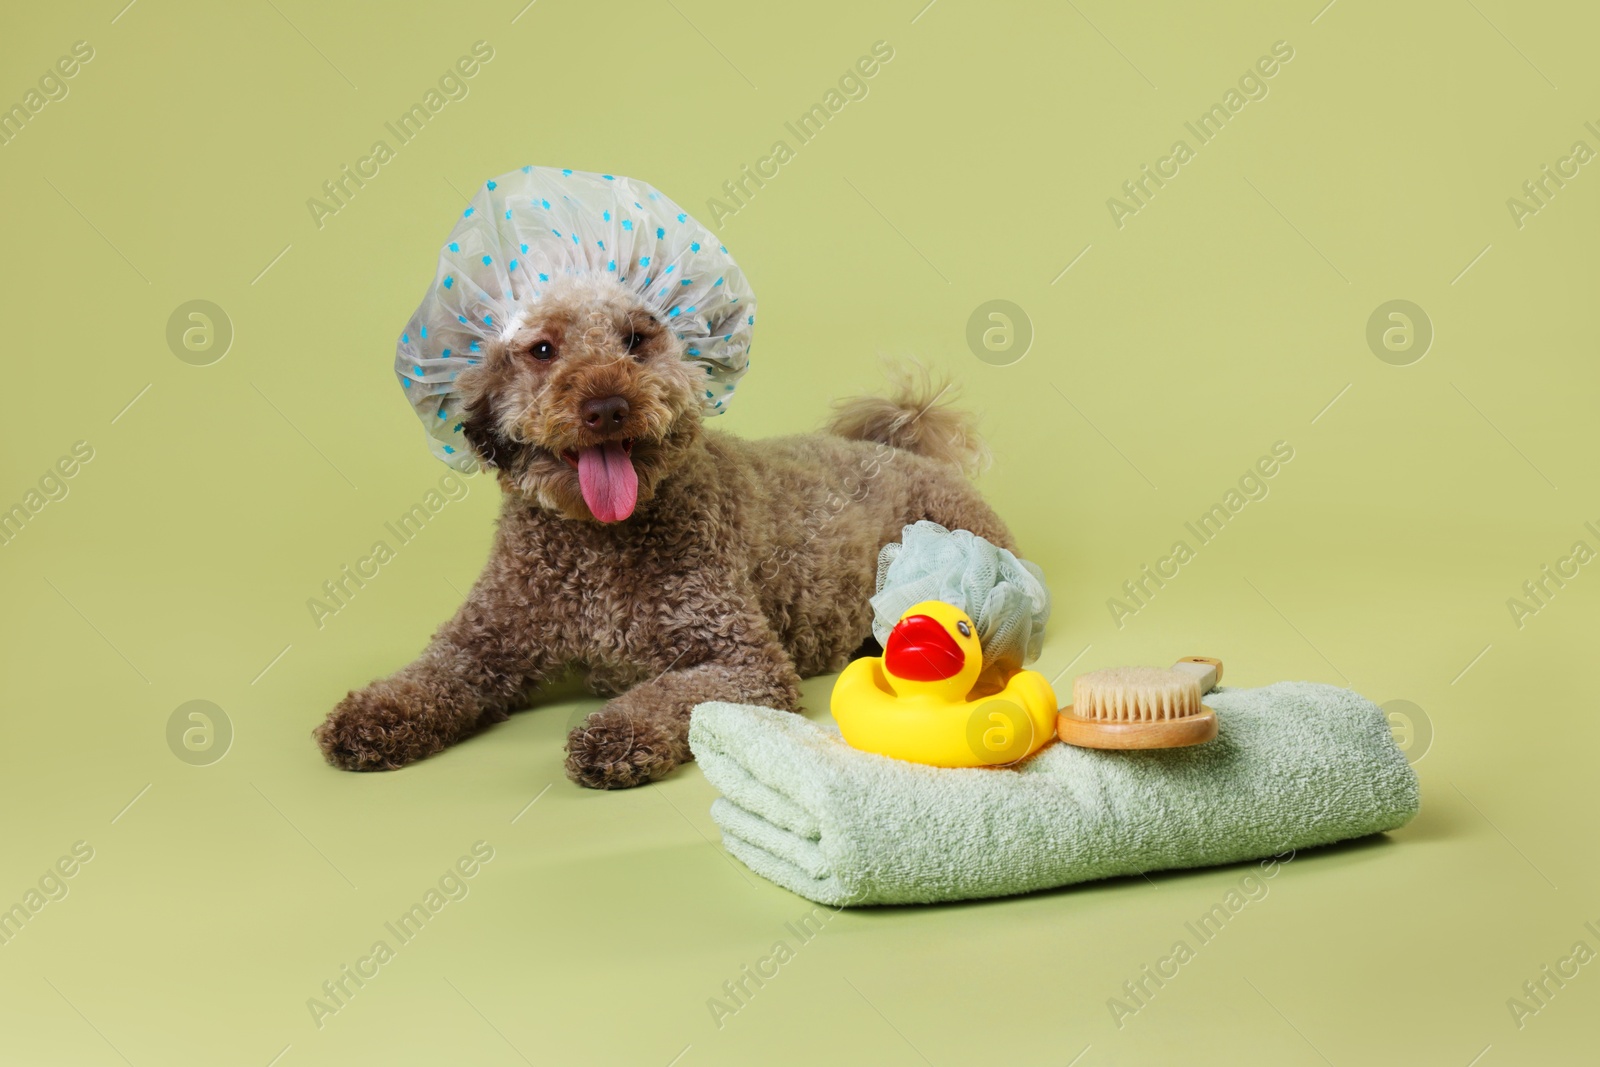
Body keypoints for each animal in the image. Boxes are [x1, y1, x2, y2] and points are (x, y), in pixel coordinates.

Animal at [312, 273, 1011, 793]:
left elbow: (669, 696)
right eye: (543, 350)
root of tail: (901, 448)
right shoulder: (484, 640)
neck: (595, 544)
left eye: (635, 340)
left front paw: (617, 735)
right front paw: (372, 714)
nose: (607, 406)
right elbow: (430, 673)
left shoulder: (741, 660)